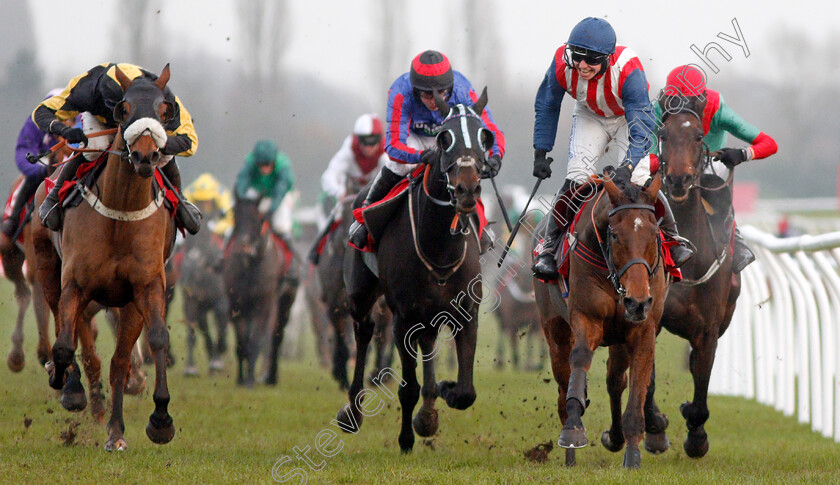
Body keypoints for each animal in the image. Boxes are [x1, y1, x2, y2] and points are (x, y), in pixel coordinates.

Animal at [31, 64, 177, 450]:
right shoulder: (76, 285)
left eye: (164, 111)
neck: (120, 214)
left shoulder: (146, 286)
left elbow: (153, 341)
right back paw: (72, 386)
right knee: (68, 332)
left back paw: (114, 427)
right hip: (48, 268)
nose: (145, 156)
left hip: (123, 303)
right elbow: (65, 345)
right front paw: (65, 383)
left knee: (115, 360)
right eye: (123, 109)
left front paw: (159, 420)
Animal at [223, 193, 298, 386]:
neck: (251, 266)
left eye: (256, 219)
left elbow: (257, 341)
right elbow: (242, 343)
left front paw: (250, 380)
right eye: (235, 216)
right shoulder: (236, 306)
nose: (242, 248)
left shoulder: (263, 307)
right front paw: (241, 379)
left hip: (285, 303)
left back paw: (271, 377)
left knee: (277, 337)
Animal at [336, 89, 492, 452]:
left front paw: (441, 398)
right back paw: (352, 412)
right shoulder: (403, 318)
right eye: (444, 137)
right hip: (361, 294)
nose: (467, 189)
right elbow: (407, 388)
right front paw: (407, 437)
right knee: (363, 330)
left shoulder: (467, 314)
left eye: (485, 136)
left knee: (428, 342)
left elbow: (466, 392)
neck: (438, 246)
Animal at [536, 172, 672, 466]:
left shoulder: (643, 329)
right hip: (555, 332)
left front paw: (632, 455)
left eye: (654, 233)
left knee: (615, 379)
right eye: (615, 234)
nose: (637, 301)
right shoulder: (586, 318)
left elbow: (637, 384)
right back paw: (570, 457)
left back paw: (617, 437)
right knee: (563, 385)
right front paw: (573, 430)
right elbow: (580, 359)